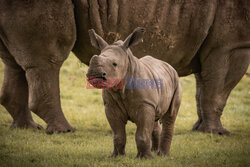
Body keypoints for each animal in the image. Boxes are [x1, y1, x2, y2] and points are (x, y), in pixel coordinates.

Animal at [0, 0, 249, 134]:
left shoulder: (222, 45)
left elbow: (204, 88)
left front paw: (200, 129)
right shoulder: (233, 45)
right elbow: (217, 91)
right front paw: (218, 133)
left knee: (14, 63)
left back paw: (27, 128)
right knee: (48, 60)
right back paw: (64, 130)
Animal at [86, 27, 182, 159]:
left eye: (114, 64)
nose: (95, 73)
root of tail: (168, 66)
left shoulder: (145, 104)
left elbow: (141, 133)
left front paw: (144, 159)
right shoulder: (111, 106)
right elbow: (118, 134)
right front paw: (116, 156)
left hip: (176, 81)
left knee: (170, 116)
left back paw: (163, 156)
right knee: (154, 118)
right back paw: (154, 152)